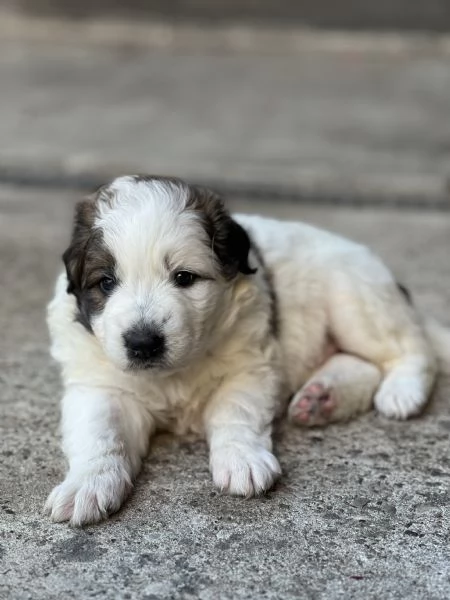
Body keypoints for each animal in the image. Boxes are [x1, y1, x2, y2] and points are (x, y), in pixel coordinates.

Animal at [44, 175, 450, 524]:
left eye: (184, 278)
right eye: (106, 282)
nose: (143, 343)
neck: (175, 373)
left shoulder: (251, 364)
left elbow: (235, 411)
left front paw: (243, 461)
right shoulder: (99, 386)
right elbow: (100, 433)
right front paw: (85, 485)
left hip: (355, 300)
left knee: (412, 348)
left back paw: (401, 392)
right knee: (362, 364)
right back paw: (322, 397)